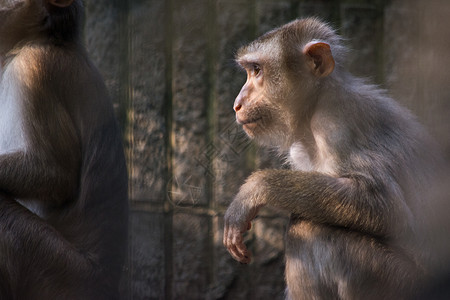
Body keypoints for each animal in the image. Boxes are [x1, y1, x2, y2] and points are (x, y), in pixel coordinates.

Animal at [222, 17, 442, 298]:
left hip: (401, 282)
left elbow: (386, 205)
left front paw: (255, 189)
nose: (237, 103)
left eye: (257, 70)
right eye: (250, 71)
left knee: (310, 228)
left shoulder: (337, 125)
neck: (316, 104)